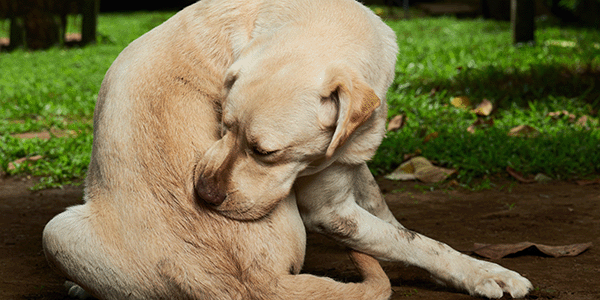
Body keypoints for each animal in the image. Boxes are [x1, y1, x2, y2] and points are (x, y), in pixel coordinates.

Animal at [42, 0, 532, 298]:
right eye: (223, 125)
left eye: (266, 153)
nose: (203, 195)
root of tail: (254, 284)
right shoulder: (330, 211)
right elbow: (417, 242)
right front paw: (487, 273)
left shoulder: (348, 167)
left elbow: (395, 223)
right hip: (55, 231)